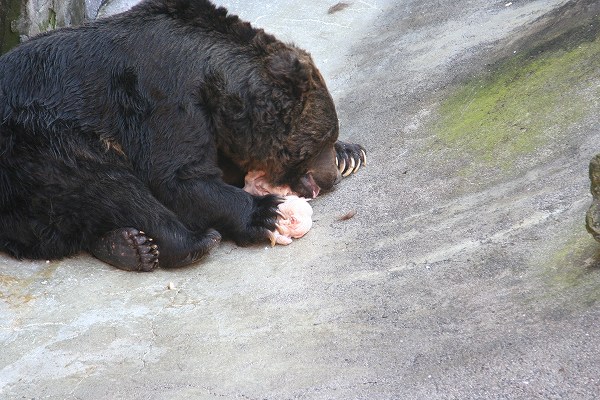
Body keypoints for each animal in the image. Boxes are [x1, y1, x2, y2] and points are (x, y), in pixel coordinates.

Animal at [0, 0, 366, 272]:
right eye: (314, 144)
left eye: (328, 137)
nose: (330, 178)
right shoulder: (164, 95)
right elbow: (178, 176)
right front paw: (268, 212)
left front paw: (350, 154)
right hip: (38, 141)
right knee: (104, 182)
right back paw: (187, 241)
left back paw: (126, 245)